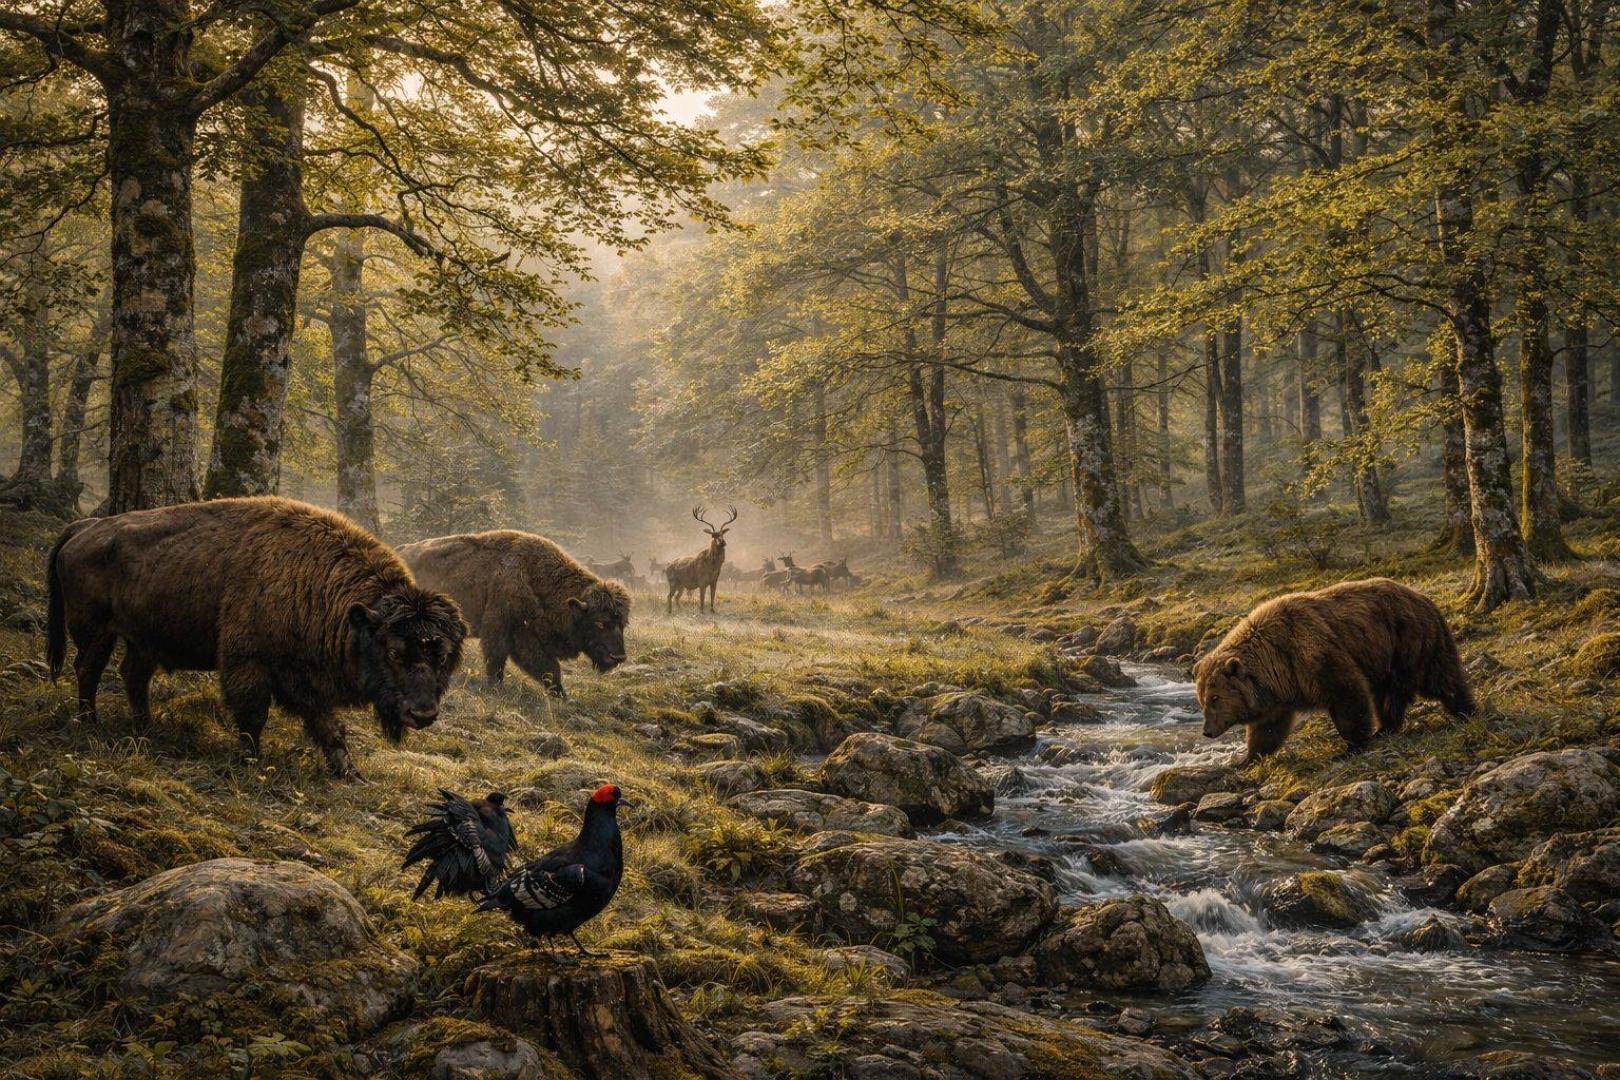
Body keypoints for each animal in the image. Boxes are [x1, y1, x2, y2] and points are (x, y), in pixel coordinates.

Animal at [1193, 577, 1475, 763]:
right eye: (1203, 700)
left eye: (1215, 698)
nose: (1207, 731)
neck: (1274, 662)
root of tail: (1423, 597)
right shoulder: (1278, 692)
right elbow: (1268, 728)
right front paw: (1246, 758)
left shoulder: (1313, 656)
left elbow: (1348, 695)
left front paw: (1350, 747)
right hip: (1387, 658)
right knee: (1389, 696)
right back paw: (1386, 728)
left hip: (1409, 640)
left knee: (1441, 678)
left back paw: (1466, 711)